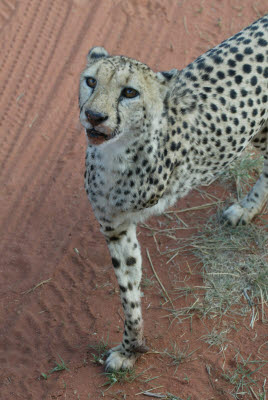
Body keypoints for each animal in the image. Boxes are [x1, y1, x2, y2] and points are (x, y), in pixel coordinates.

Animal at [79, 15, 268, 372]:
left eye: (129, 92)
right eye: (91, 82)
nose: (94, 116)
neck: (116, 153)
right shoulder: (116, 227)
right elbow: (128, 292)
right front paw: (131, 348)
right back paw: (247, 209)